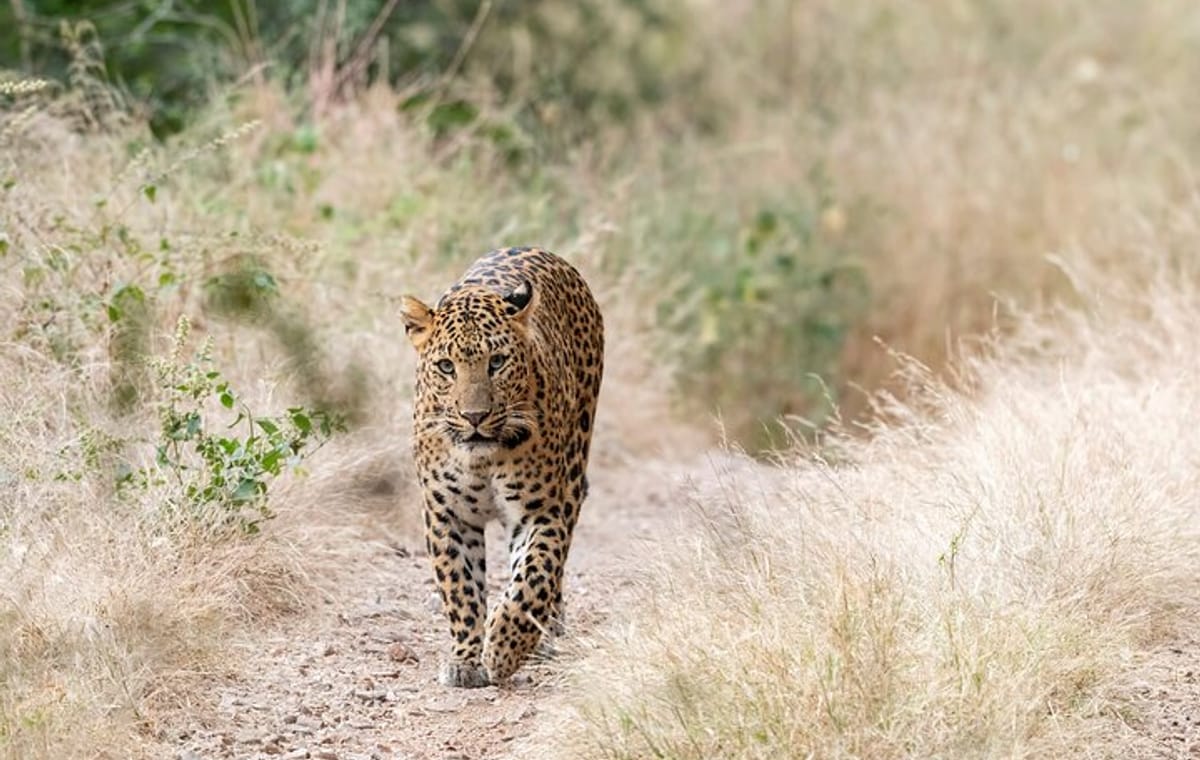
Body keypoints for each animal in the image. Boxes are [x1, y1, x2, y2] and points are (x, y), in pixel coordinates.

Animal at [400, 246, 604, 688]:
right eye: (446, 367)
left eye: (497, 362)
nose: (474, 416)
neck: (484, 458)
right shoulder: (447, 514)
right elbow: (460, 588)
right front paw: (465, 660)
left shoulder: (543, 509)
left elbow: (534, 576)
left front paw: (505, 648)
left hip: (575, 466)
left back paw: (545, 634)